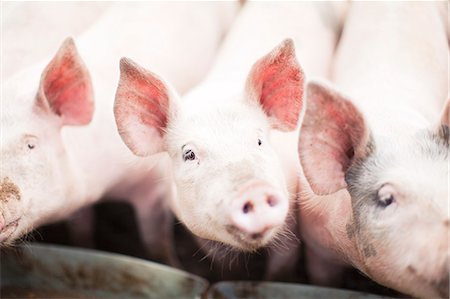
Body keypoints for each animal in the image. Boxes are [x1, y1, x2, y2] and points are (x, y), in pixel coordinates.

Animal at [114, 1, 346, 278]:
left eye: (259, 141)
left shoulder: (290, 219)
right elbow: (223, 262)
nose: (254, 189)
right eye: (189, 154)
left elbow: (282, 265)